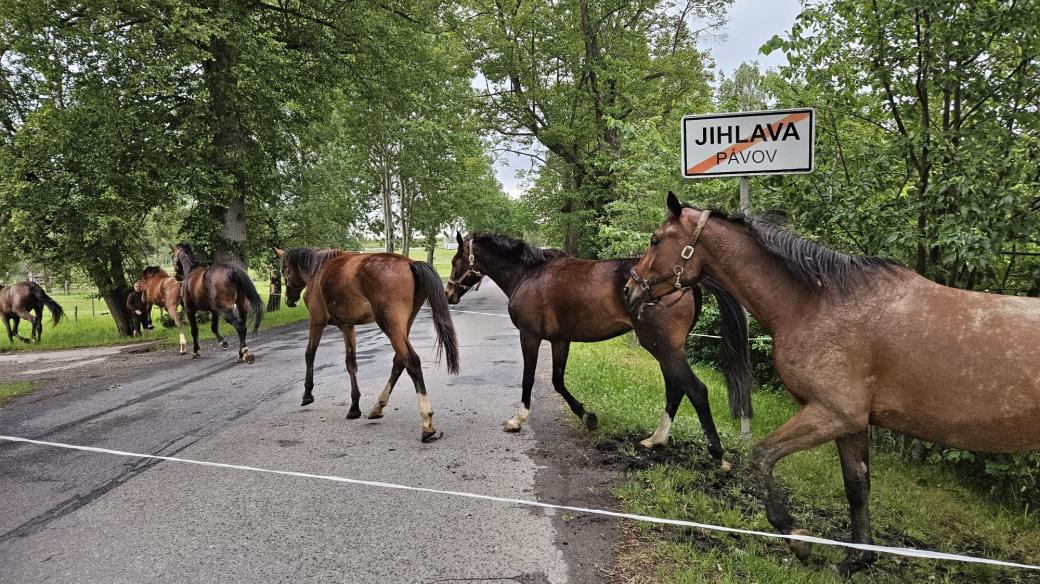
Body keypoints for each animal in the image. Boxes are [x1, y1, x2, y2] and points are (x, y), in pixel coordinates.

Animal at [276, 245, 459, 440]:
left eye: (284, 269)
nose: (289, 299)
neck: (317, 270)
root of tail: (409, 263)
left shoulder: (316, 321)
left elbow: (309, 354)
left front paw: (307, 394)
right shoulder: (347, 327)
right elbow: (351, 364)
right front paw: (354, 407)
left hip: (390, 325)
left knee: (411, 361)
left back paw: (426, 421)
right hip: (404, 325)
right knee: (399, 361)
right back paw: (378, 407)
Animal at [447, 231, 757, 467]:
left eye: (454, 260)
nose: (449, 293)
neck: (528, 274)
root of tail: (685, 281)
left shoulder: (530, 337)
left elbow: (528, 379)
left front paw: (518, 419)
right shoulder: (560, 340)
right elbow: (558, 381)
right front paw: (588, 417)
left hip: (663, 348)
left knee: (695, 390)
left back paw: (717, 457)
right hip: (666, 349)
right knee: (675, 388)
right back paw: (655, 440)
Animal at [619, 192, 1040, 573]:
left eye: (656, 239)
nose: (630, 289)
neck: (820, 304)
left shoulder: (831, 415)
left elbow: (762, 456)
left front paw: (797, 539)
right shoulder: (851, 425)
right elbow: (857, 487)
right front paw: (858, 559)